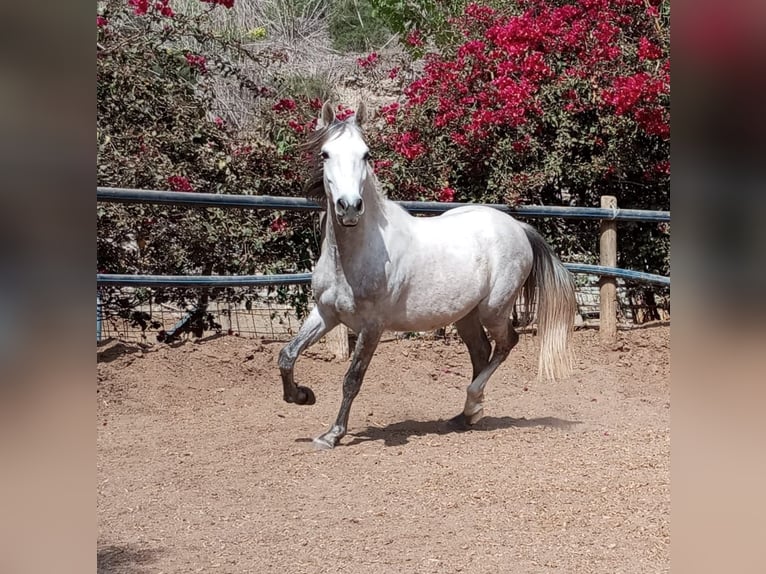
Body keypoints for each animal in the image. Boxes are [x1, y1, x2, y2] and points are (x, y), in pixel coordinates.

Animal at [278, 102, 576, 450]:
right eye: (325, 153)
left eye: (366, 154)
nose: (349, 207)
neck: (352, 257)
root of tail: (517, 226)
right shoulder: (326, 313)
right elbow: (287, 355)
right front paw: (302, 396)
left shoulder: (372, 326)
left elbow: (352, 378)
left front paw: (332, 434)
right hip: (466, 315)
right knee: (481, 352)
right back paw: (465, 416)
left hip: (494, 309)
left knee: (506, 344)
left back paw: (472, 405)